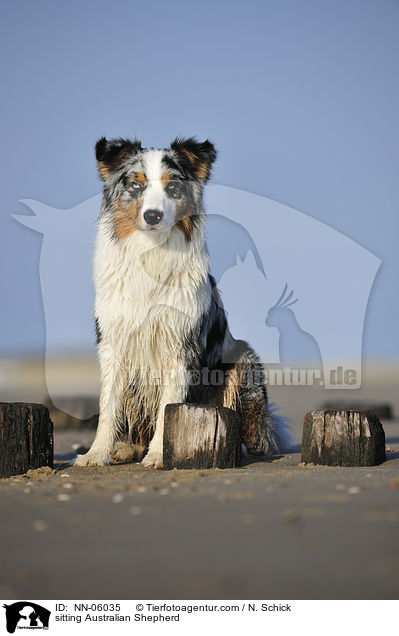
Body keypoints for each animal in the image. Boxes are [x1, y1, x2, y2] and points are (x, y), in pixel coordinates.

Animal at [75, 138, 290, 468]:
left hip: (244, 359)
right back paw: (126, 448)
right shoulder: (113, 341)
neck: (151, 252)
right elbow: (108, 406)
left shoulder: (179, 343)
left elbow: (169, 406)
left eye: (173, 187)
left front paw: (159, 455)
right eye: (136, 185)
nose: (153, 216)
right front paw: (96, 454)